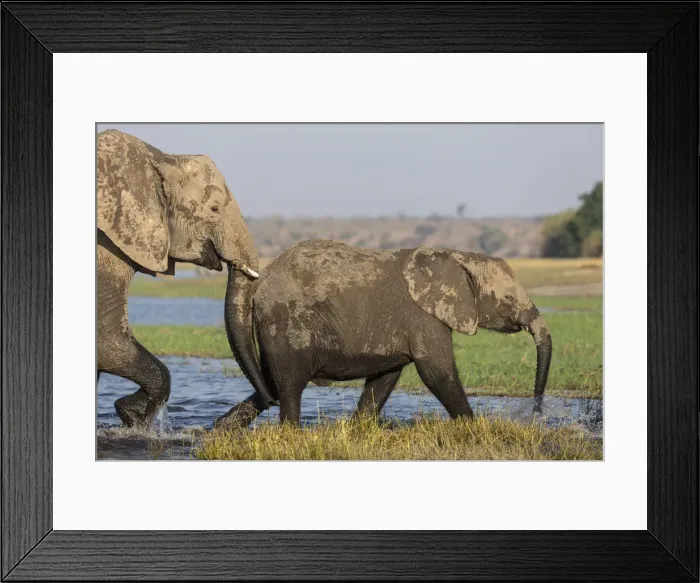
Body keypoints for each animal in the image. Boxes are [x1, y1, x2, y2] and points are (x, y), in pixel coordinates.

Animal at [97, 129, 276, 428]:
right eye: (214, 209)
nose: (217, 425)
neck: (159, 158)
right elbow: (105, 338)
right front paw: (133, 415)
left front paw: (130, 413)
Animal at [216, 238, 552, 428]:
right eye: (508, 298)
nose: (536, 413)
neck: (458, 257)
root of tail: (260, 281)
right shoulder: (422, 316)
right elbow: (437, 372)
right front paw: (474, 429)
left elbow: (385, 377)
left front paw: (358, 431)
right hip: (286, 321)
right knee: (289, 385)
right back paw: (291, 435)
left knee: (269, 383)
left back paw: (219, 432)